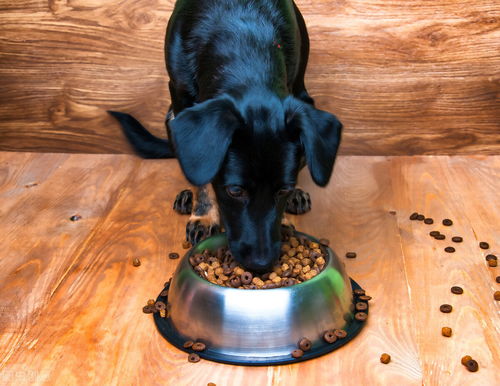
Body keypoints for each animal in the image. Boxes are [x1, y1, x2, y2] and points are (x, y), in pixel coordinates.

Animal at [110, 0, 342, 272]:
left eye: (283, 189)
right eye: (234, 191)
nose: (261, 264)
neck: (244, 41)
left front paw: (285, 214)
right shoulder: (179, 97)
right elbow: (201, 174)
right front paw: (204, 215)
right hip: (170, 117)